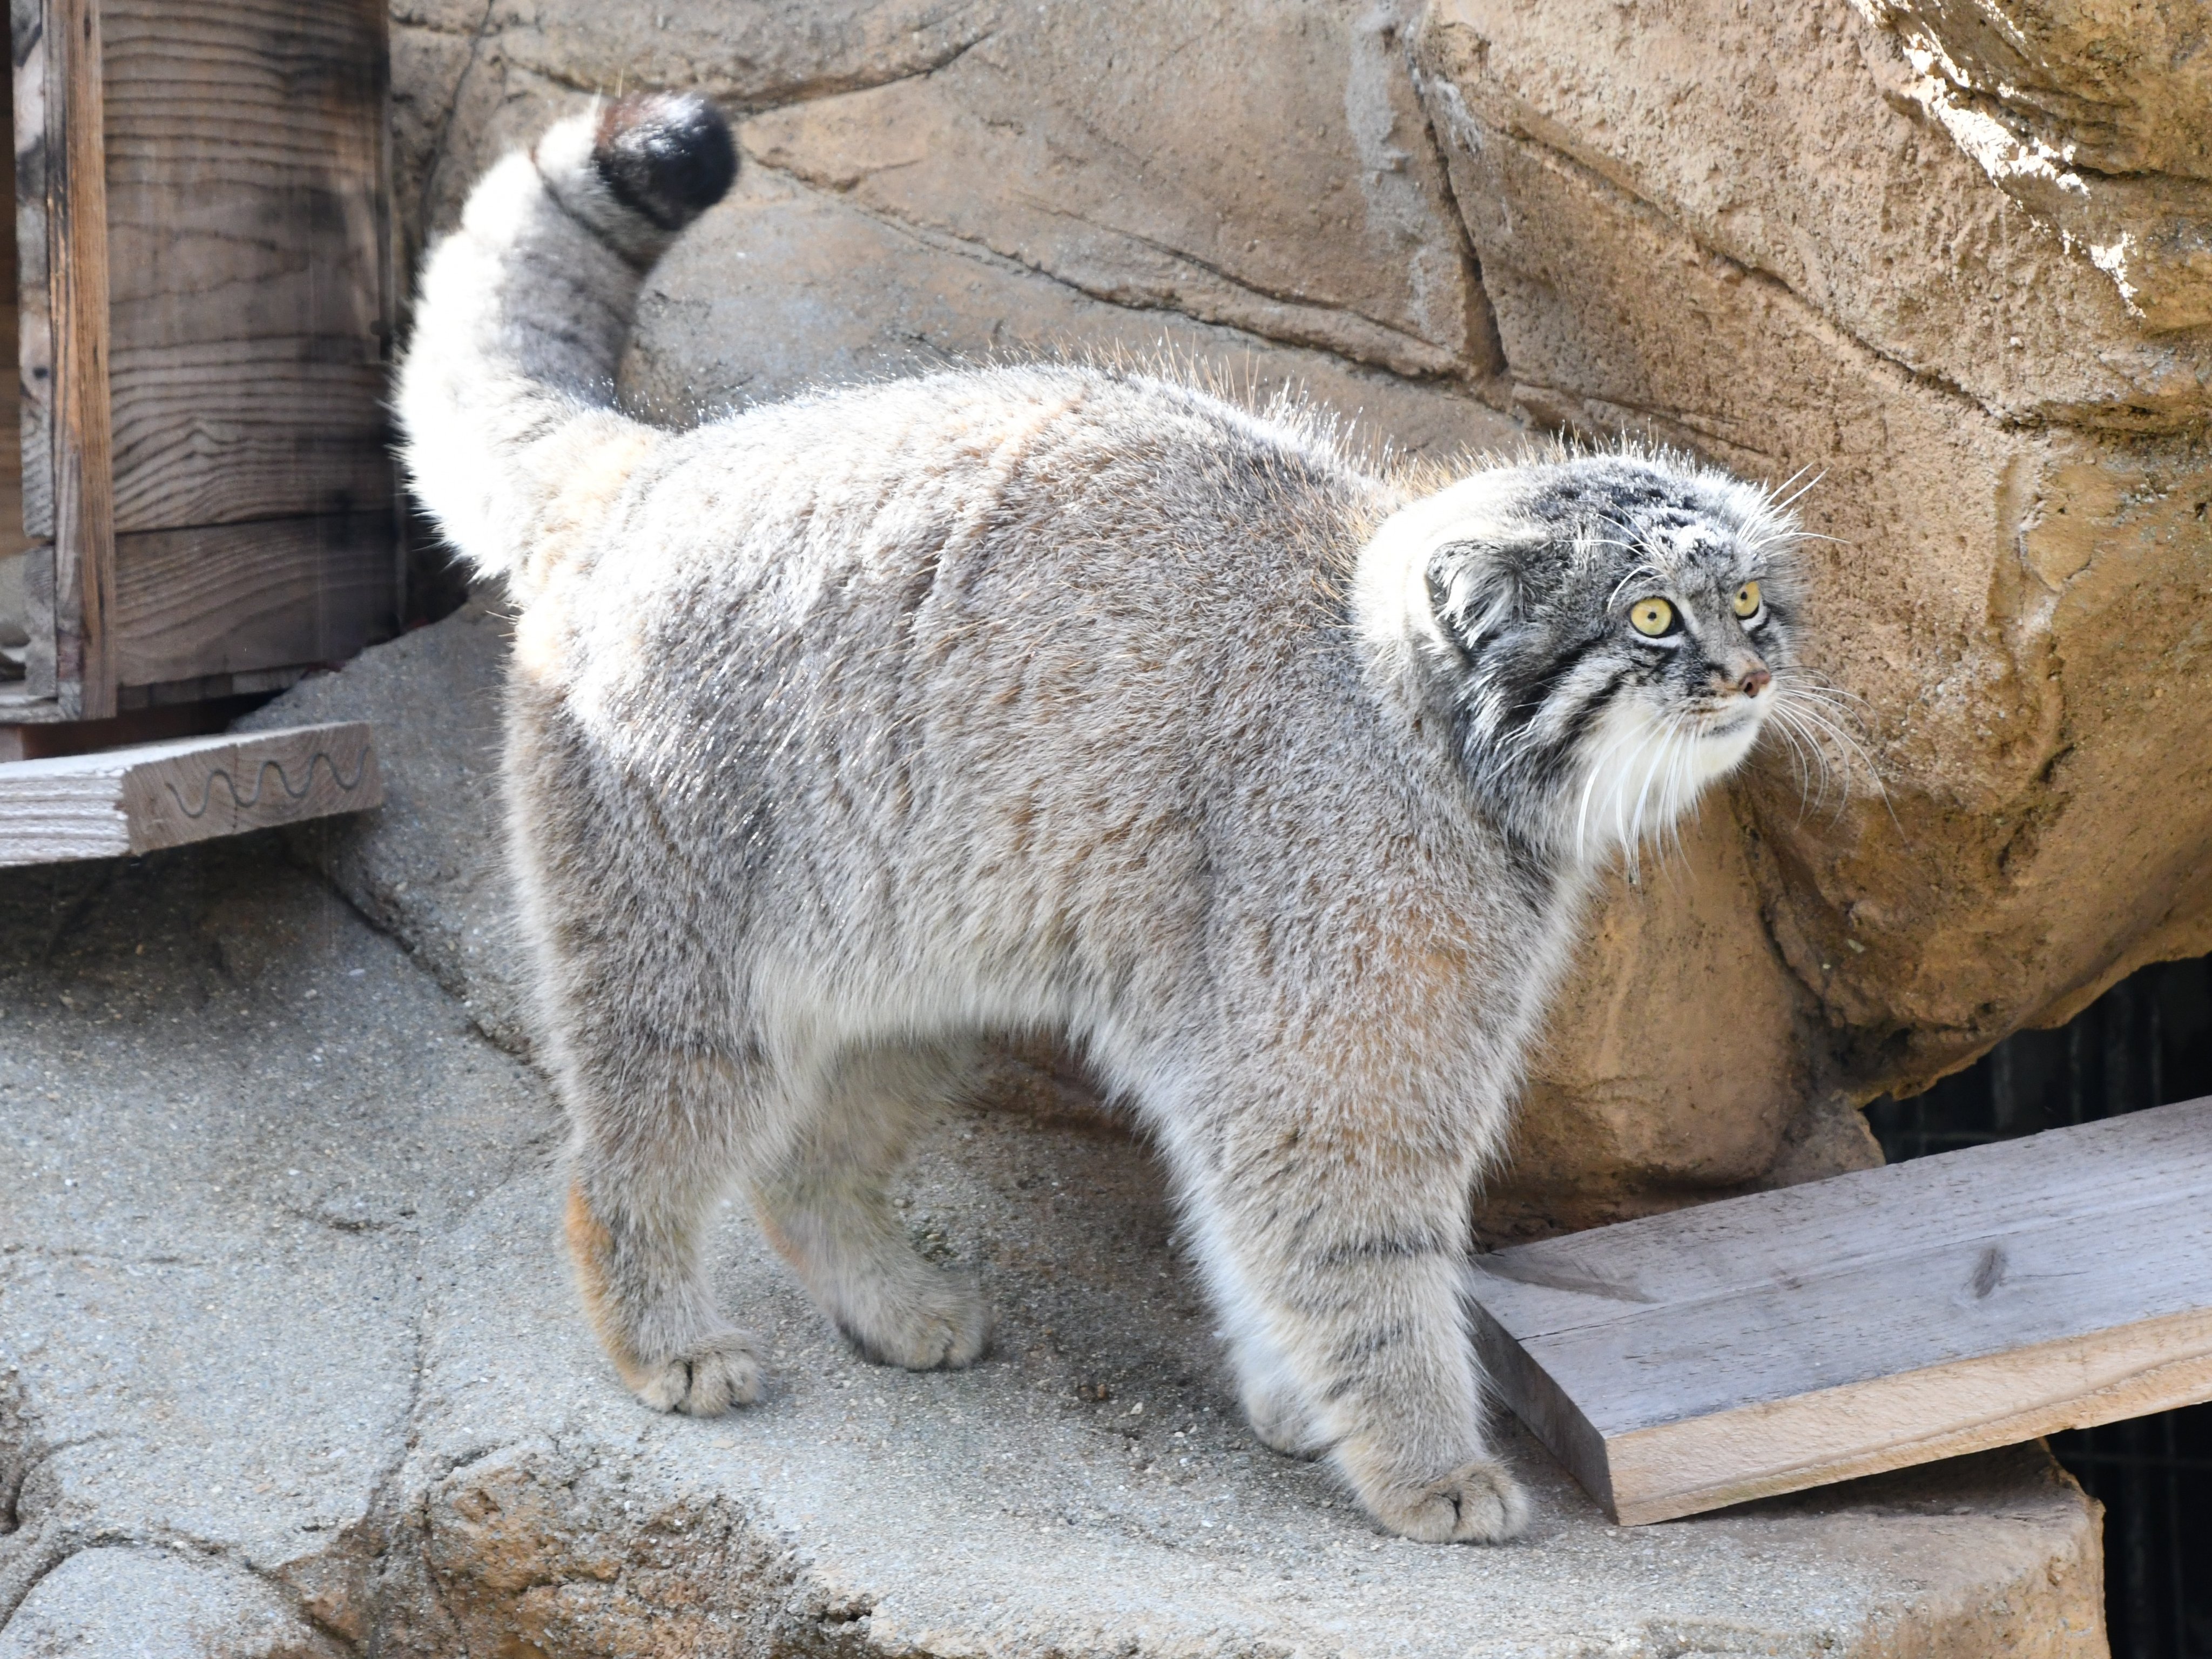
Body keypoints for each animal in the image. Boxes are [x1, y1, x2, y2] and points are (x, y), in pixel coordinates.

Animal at [398, 94, 1805, 1548]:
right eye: (1652, 616)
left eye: (1748, 600)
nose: (1753, 676)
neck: (1415, 723)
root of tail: (658, 462)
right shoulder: (1330, 1045)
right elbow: (1356, 1248)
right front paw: (1423, 1458)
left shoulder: (1249, 1040)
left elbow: (1243, 1221)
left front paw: (1293, 1395)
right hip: (677, 941)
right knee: (629, 1150)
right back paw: (660, 1330)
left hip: (907, 956)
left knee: (805, 1164)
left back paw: (883, 1295)